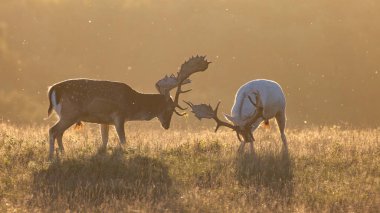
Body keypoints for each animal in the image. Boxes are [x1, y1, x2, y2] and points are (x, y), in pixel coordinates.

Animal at [46, 55, 211, 159]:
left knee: (59, 133)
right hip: (70, 113)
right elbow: (123, 140)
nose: (166, 125)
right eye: (169, 108)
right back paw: (51, 156)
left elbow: (104, 141)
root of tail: (52, 89)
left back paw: (63, 153)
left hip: (68, 115)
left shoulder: (104, 120)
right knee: (53, 130)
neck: (133, 103)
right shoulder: (118, 116)